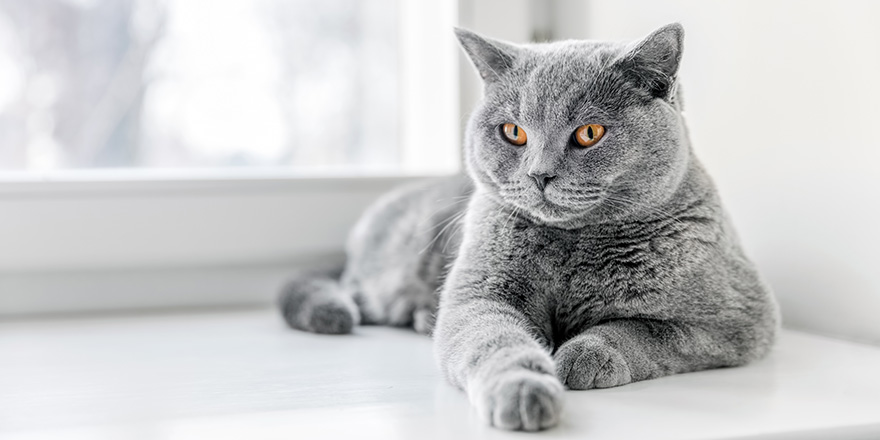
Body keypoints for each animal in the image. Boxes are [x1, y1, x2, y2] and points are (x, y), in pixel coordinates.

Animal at [280, 23, 776, 430]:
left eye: (590, 133)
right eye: (513, 132)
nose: (539, 174)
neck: (575, 248)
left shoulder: (738, 321)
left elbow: (647, 330)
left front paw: (582, 355)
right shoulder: (478, 295)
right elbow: (495, 341)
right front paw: (524, 391)